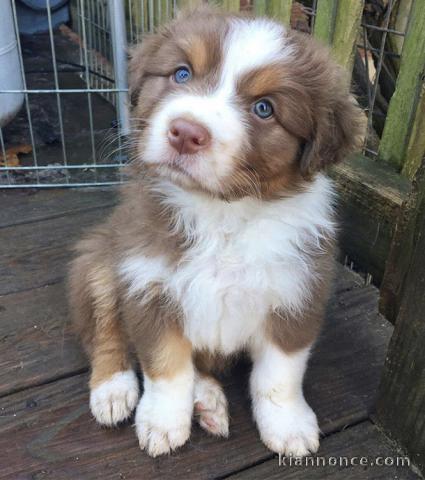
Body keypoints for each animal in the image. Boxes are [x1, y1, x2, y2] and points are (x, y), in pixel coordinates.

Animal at [68, 6, 362, 458]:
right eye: (181, 74)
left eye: (264, 108)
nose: (186, 132)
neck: (221, 214)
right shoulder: (146, 282)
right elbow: (166, 365)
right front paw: (162, 423)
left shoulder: (297, 292)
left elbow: (279, 374)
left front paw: (289, 426)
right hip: (99, 258)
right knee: (104, 330)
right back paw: (113, 390)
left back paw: (207, 400)